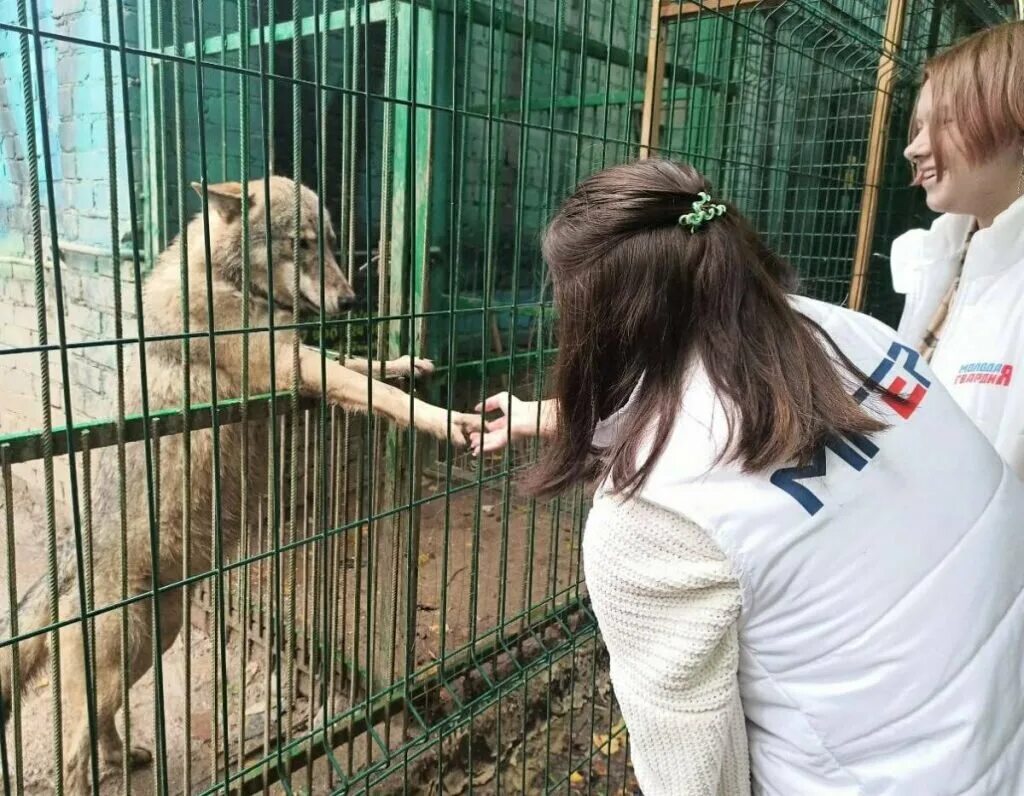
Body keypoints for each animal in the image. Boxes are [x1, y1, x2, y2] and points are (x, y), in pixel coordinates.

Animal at [0, 177, 477, 790]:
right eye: (300, 244)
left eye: (330, 242)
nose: (351, 301)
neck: (230, 284)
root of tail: (67, 564)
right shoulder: (290, 369)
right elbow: (379, 393)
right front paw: (445, 419)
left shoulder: (302, 361)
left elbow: (361, 366)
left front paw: (406, 362)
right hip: (119, 660)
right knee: (71, 753)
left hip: (153, 642)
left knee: (100, 726)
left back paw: (125, 756)